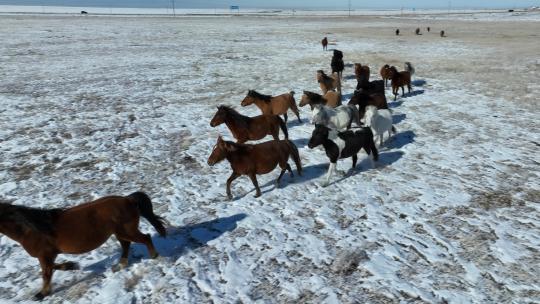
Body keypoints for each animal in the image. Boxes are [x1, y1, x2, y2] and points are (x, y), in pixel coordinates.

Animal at [0, 192, 167, 300]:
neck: (31, 229)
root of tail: (128, 200)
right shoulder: (49, 255)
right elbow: (52, 268)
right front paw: (71, 265)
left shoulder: (45, 255)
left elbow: (46, 273)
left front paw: (42, 294)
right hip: (120, 233)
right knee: (126, 245)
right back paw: (120, 265)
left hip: (127, 231)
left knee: (145, 238)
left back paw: (154, 256)